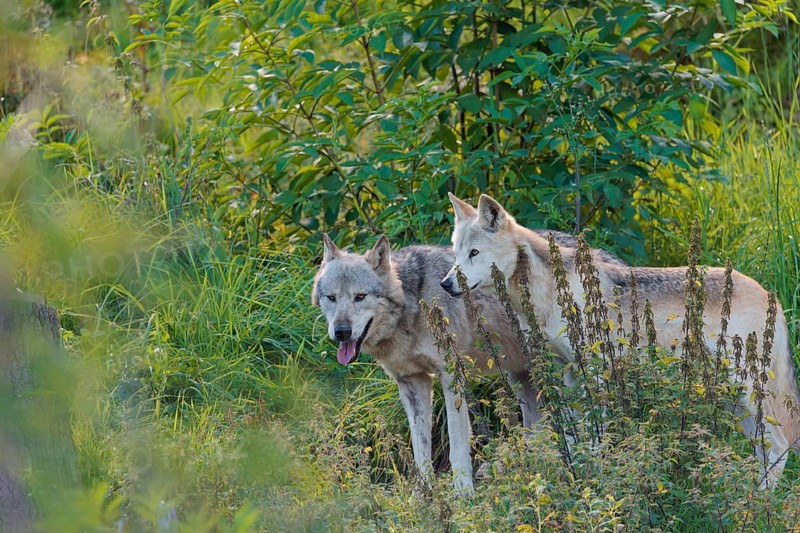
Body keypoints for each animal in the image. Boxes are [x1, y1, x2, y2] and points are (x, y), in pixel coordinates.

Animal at [312, 230, 623, 493]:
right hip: (522, 378)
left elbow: (457, 445)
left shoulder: (451, 377)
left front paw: (463, 493)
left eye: (360, 297)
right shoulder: (412, 383)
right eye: (331, 298)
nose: (341, 331)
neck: (413, 303)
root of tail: (615, 261)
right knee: (537, 430)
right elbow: (420, 449)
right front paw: (423, 496)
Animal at [441, 192, 800, 487]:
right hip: (733, 397)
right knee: (765, 448)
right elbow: (573, 438)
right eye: (456, 254)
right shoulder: (569, 373)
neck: (547, 294)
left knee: (779, 446)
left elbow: (594, 436)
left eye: (474, 253)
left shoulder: (595, 373)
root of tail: (770, 295)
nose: (445, 284)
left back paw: (760, 505)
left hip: (744, 390)